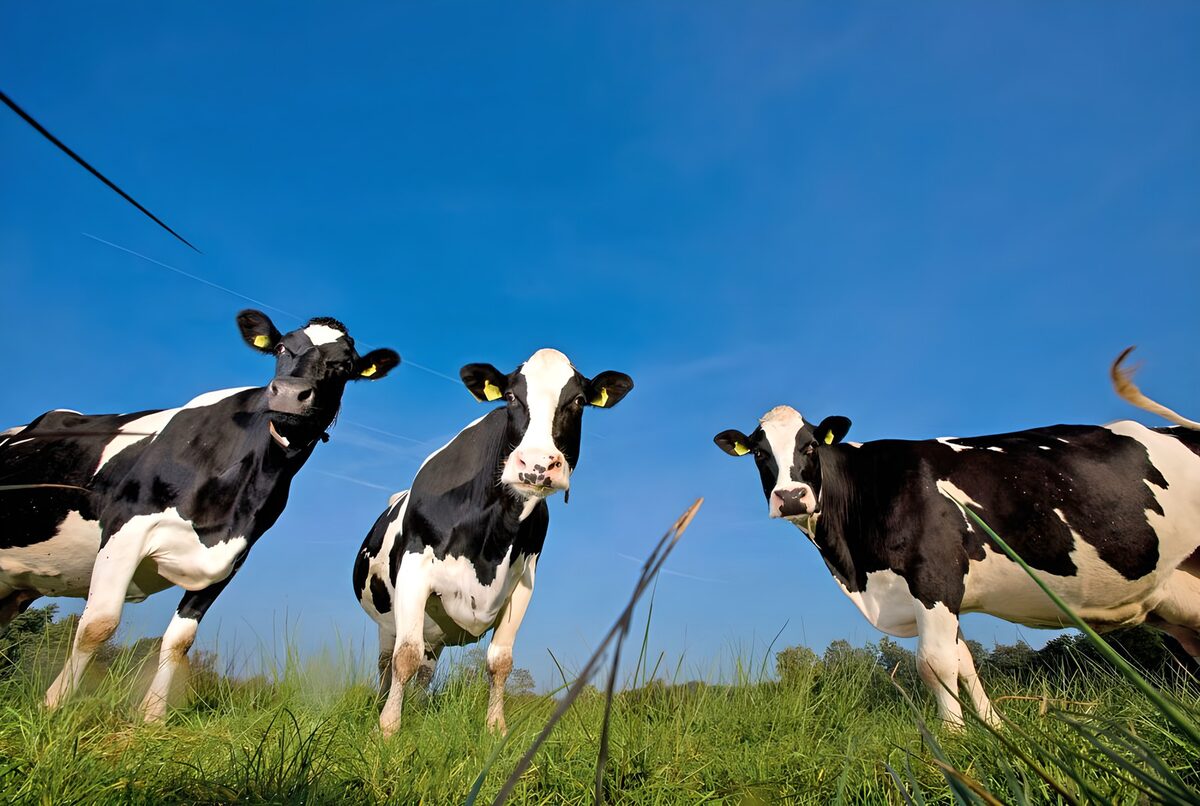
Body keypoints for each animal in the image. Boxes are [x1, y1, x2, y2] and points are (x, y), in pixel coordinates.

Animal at [0, 310, 399, 720]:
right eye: (281, 348)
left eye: (344, 366)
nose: (289, 394)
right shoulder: (126, 527)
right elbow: (99, 623)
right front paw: (52, 704)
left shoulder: (231, 555)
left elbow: (180, 639)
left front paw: (153, 716)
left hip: (17, 584)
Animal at [353, 348, 633, 736]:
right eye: (512, 397)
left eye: (577, 400)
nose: (536, 465)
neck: (491, 538)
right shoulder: (414, 568)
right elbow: (404, 656)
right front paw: (388, 728)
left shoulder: (523, 581)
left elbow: (500, 661)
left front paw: (495, 728)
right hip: (386, 618)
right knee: (388, 661)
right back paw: (385, 705)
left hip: (434, 632)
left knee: (425, 668)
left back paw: (420, 711)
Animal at [713, 350, 1200, 728]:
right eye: (759, 453)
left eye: (811, 445)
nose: (791, 497)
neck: (857, 569)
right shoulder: (940, 592)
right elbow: (964, 662)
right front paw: (994, 729)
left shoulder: (935, 575)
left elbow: (936, 663)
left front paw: (953, 739)